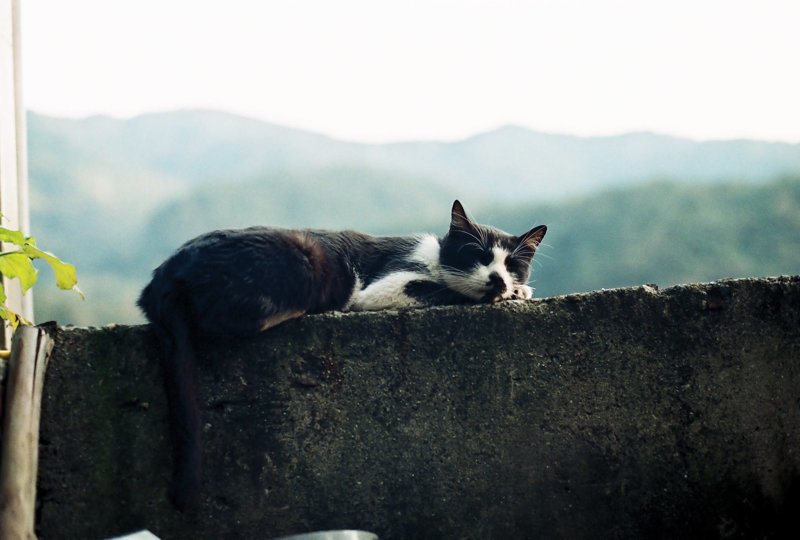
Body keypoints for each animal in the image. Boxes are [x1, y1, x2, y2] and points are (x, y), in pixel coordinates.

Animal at [141, 199, 548, 510]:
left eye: (512, 265)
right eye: (477, 255)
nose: (498, 280)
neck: (434, 259)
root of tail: (162, 276)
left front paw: (518, 290)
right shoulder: (382, 287)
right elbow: (447, 292)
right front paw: (511, 294)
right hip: (302, 263)